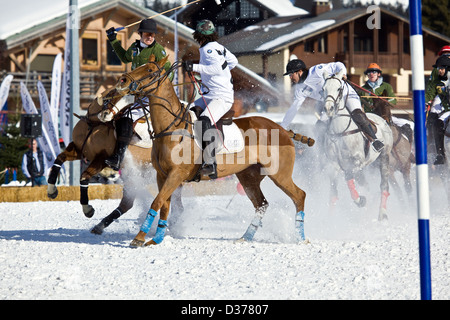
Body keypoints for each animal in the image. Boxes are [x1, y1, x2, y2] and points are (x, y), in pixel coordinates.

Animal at [47, 86, 183, 234]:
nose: (106, 114)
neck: (94, 123)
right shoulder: (78, 149)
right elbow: (59, 159)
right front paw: (52, 191)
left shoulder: (101, 158)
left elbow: (84, 177)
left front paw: (88, 209)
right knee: (129, 203)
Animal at [107, 56, 314, 246]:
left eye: (150, 70)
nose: (122, 81)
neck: (171, 128)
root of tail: (283, 129)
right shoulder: (162, 175)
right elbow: (165, 204)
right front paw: (156, 238)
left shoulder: (176, 174)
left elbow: (157, 201)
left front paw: (139, 238)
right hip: (248, 177)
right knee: (262, 204)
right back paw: (245, 237)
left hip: (279, 173)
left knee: (299, 195)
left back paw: (301, 237)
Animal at [322, 70, 392, 220]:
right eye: (323, 89)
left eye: (339, 88)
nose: (329, 108)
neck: (340, 131)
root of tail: (383, 120)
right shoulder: (333, 166)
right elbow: (333, 194)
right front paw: (330, 219)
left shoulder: (356, 162)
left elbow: (349, 178)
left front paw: (360, 200)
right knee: (366, 185)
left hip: (384, 156)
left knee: (383, 186)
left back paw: (382, 213)